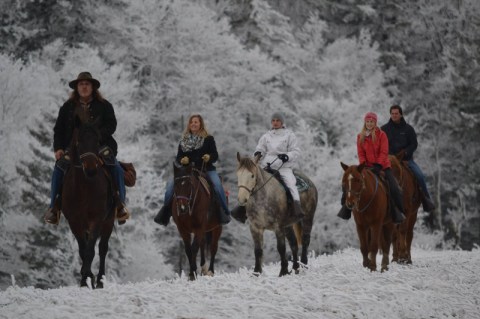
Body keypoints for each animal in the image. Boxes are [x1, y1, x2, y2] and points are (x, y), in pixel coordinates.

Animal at [61, 109, 115, 288]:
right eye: (79, 141)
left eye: (98, 141)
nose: (91, 170)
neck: (83, 188)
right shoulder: (74, 222)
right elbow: (83, 250)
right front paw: (85, 278)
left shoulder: (97, 220)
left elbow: (91, 250)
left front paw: (88, 276)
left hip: (109, 221)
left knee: (103, 248)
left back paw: (100, 280)